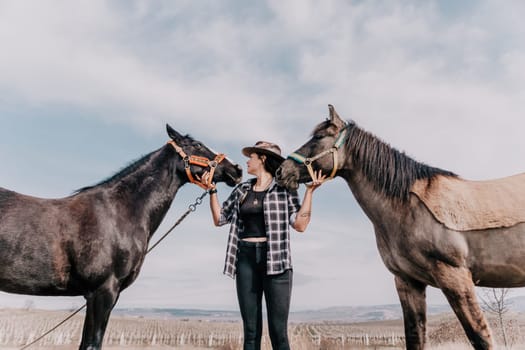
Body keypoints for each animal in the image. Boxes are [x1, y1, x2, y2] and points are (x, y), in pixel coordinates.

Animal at [276, 105, 524, 348]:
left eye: (319, 137)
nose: (281, 171)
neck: (407, 207)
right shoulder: (407, 282)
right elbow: (415, 336)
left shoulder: (455, 277)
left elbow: (480, 337)